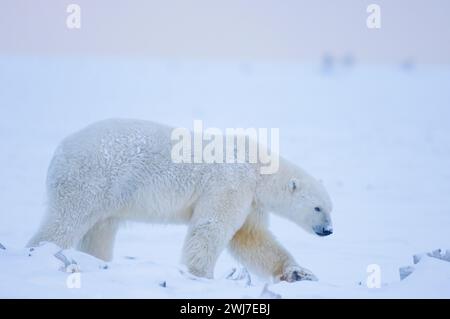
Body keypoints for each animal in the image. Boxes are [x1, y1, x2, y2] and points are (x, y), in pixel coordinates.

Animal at [27, 119, 330, 282]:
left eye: (331, 208)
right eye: (317, 207)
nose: (328, 230)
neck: (256, 166)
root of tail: (59, 151)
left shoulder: (251, 201)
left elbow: (251, 238)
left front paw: (299, 273)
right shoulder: (230, 183)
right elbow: (212, 227)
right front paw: (200, 275)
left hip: (107, 197)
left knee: (99, 231)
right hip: (88, 180)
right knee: (65, 221)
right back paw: (43, 255)